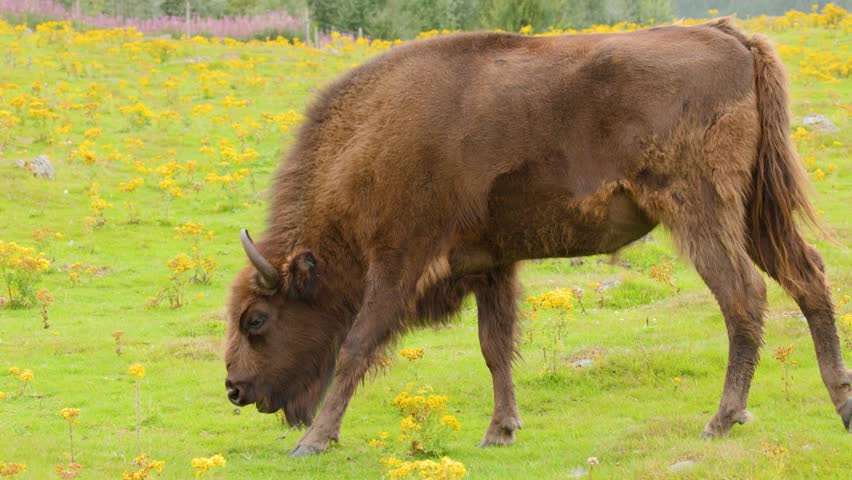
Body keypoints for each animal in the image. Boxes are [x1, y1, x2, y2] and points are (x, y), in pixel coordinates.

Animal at [224, 18, 852, 456]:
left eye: (257, 319)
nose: (233, 388)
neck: (372, 139)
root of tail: (731, 37)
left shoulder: (398, 262)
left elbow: (356, 346)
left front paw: (313, 442)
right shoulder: (491, 263)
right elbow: (495, 346)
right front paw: (500, 431)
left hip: (700, 211)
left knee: (744, 294)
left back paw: (722, 419)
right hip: (755, 212)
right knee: (808, 276)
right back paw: (841, 403)